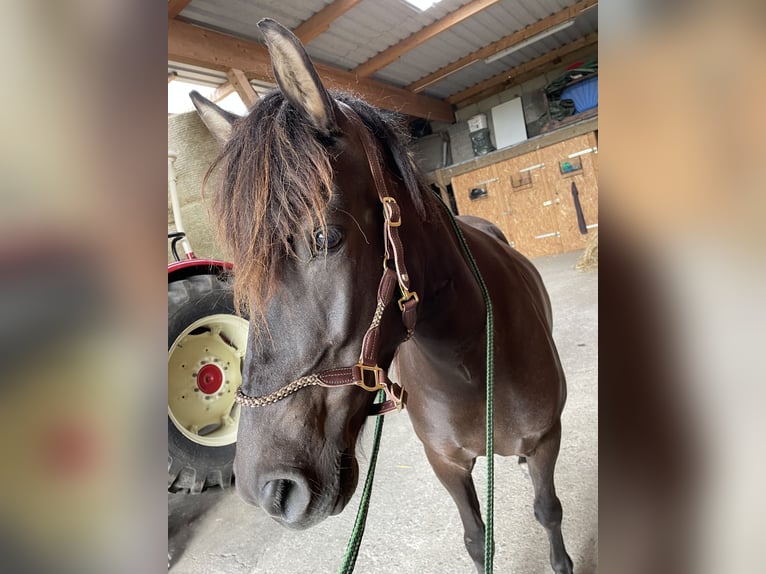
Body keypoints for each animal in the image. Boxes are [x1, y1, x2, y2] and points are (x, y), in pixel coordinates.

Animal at [194, 19, 576, 574]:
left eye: (325, 238)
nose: (268, 491)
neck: (468, 363)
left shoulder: (547, 439)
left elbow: (548, 510)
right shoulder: (447, 464)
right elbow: (476, 539)